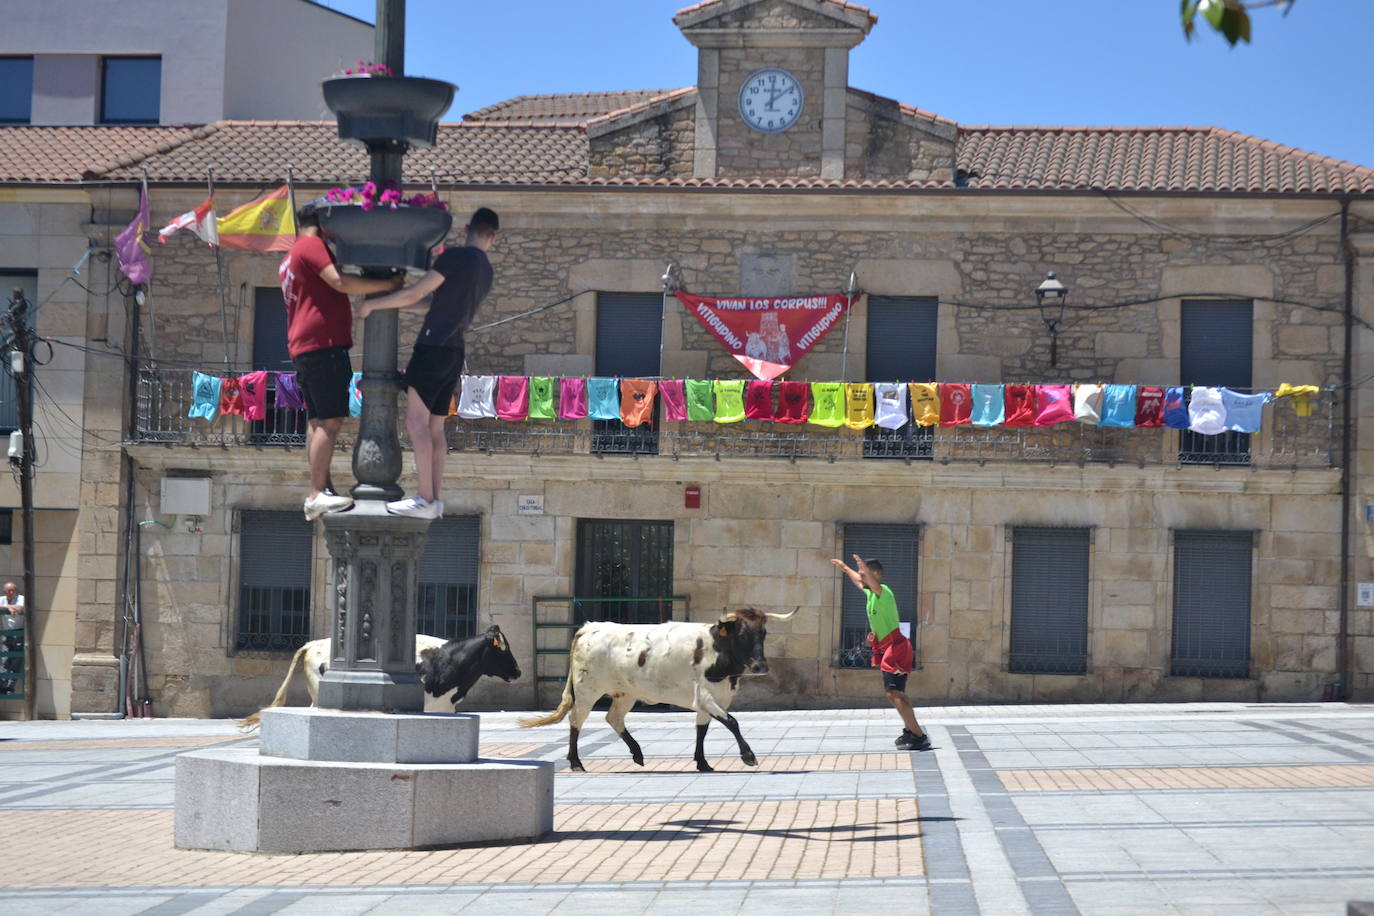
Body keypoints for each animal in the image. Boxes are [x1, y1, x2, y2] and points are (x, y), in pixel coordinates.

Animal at [516, 609, 802, 774]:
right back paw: (576, 762)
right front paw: (748, 756)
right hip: (588, 690)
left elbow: (702, 729)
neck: (719, 649)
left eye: (763, 633)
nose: (760, 666)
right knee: (576, 720)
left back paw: (637, 754)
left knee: (613, 718)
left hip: (626, 693)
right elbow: (732, 722)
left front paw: (702, 763)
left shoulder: (709, 699)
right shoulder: (706, 695)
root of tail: (590, 627)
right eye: (742, 635)